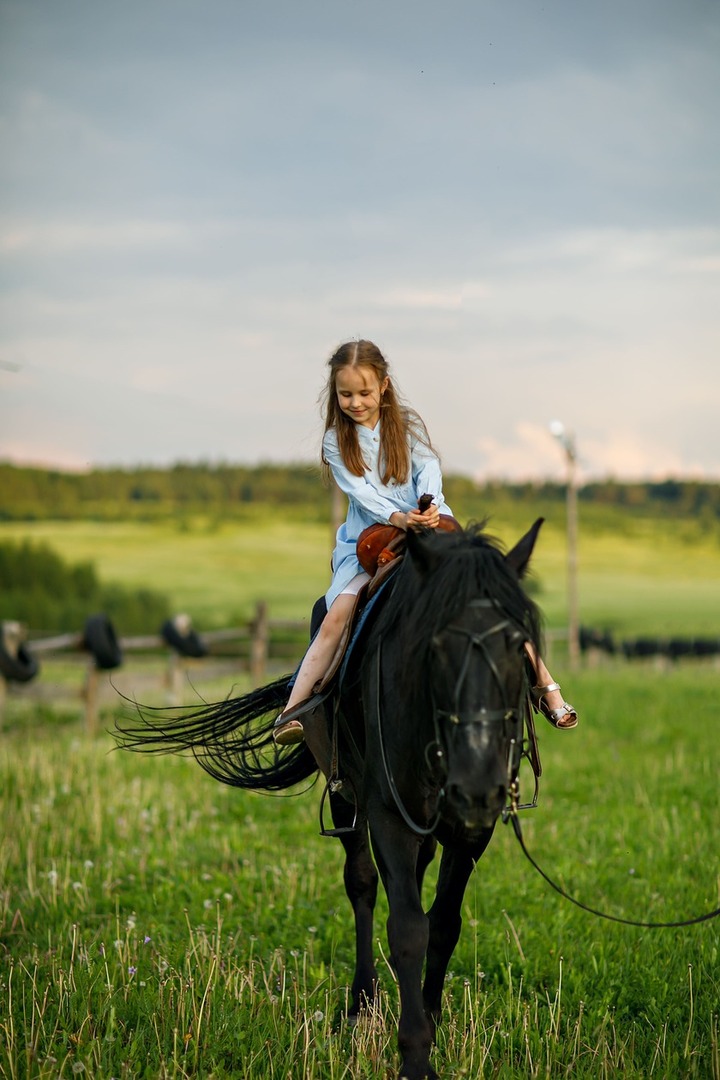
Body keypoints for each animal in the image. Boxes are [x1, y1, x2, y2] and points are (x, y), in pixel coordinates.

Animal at [115, 519, 544, 1080]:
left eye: (518, 644)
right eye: (436, 643)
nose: (475, 779)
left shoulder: (474, 826)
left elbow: (443, 924)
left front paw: (431, 1022)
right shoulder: (387, 814)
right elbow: (407, 929)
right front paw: (415, 1054)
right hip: (347, 796)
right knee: (361, 884)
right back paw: (361, 1004)